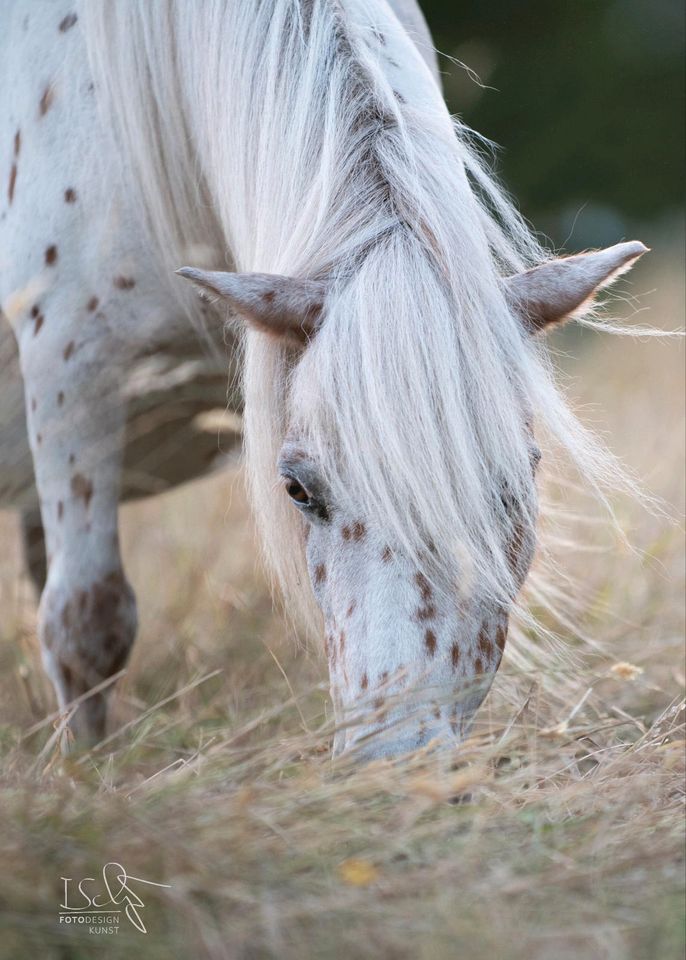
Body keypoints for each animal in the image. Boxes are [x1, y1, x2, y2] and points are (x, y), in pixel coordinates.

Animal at [0, 3, 648, 760]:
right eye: (297, 491)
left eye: (514, 489)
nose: (396, 760)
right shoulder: (74, 370)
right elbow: (86, 624)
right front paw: (87, 775)